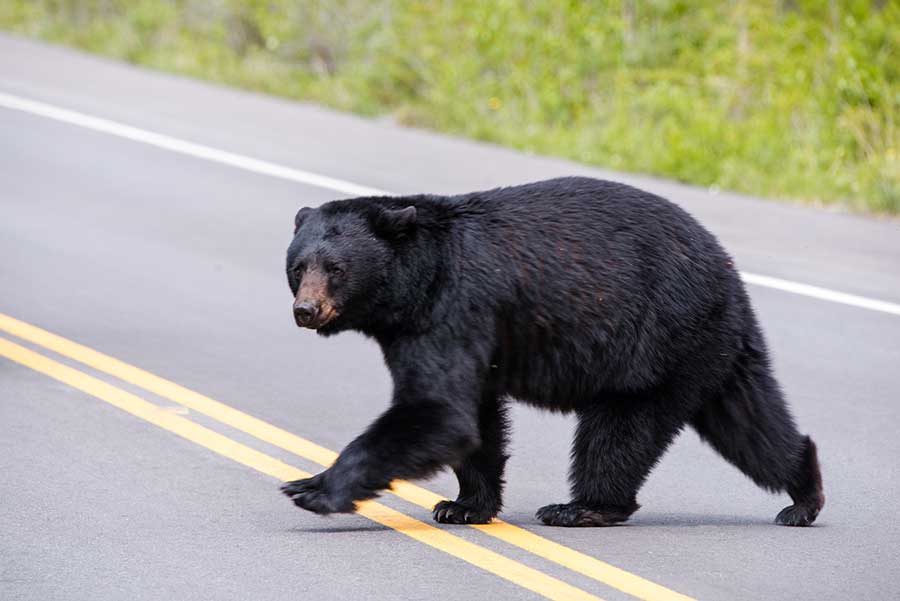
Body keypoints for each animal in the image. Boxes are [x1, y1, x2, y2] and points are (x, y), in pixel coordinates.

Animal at [280, 177, 824, 524]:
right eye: (298, 266)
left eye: (335, 268)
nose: (306, 310)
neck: (414, 285)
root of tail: (726, 269)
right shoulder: (440, 329)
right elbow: (474, 418)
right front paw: (464, 505)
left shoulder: (454, 307)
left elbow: (437, 411)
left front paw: (313, 487)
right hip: (710, 347)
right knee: (748, 421)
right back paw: (803, 491)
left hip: (657, 340)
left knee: (619, 431)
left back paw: (582, 507)